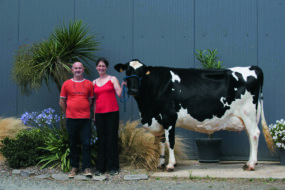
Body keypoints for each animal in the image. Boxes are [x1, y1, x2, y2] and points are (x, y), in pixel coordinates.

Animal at [113, 58, 272, 171]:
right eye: (127, 71)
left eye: (142, 72)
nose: (133, 90)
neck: (147, 111)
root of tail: (253, 67)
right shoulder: (159, 120)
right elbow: (161, 142)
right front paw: (160, 163)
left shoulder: (169, 117)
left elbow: (170, 141)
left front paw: (170, 165)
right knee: (250, 136)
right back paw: (250, 162)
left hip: (248, 113)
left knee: (254, 134)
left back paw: (251, 164)